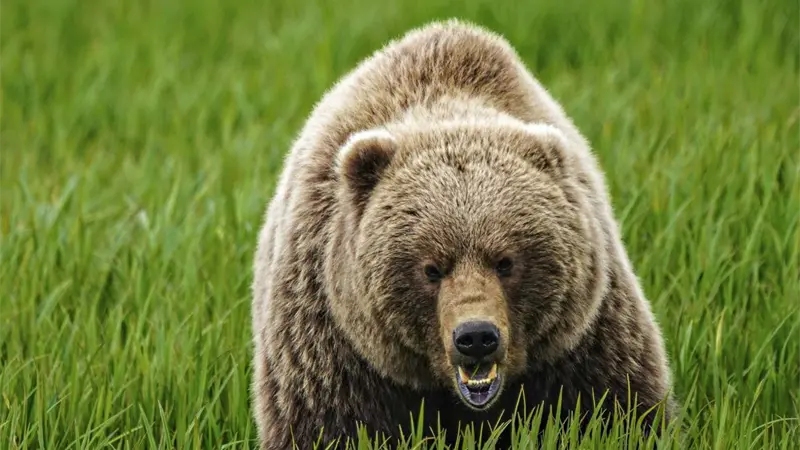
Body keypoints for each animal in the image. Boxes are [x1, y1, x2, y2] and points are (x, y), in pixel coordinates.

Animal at [250, 18, 676, 450]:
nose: (476, 337)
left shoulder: (582, 338)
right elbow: (329, 426)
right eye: (431, 268)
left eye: (506, 261)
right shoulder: (335, 348)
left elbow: (617, 410)